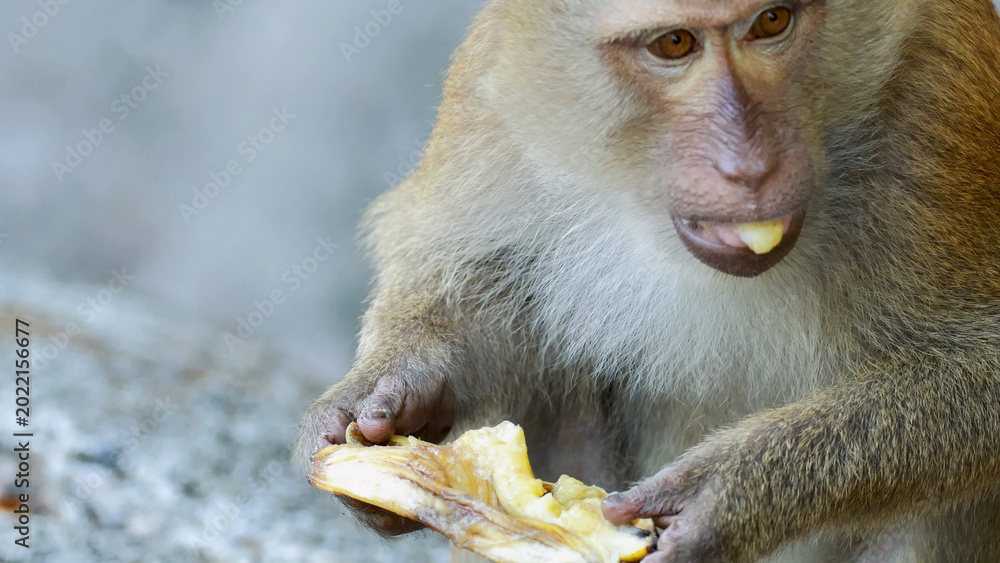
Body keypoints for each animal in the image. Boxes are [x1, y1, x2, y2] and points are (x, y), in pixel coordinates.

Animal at [297, 0, 1000, 561]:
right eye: (674, 44)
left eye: (772, 21)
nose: (748, 166)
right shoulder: (489, 89)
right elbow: (476, 280)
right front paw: (387, 391)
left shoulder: (937, 114)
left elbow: (979, 374)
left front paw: (726, 494)